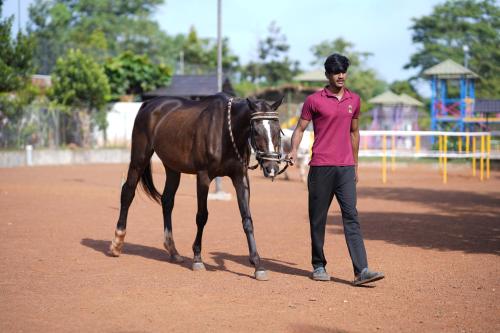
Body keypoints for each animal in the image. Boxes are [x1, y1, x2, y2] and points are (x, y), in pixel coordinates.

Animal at [109, 92, 290, 278]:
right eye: (256, 131)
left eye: (278, 131)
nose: (271, 168)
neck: (226, 130)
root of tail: (149, 104)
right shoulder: (203, 177)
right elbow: (202, 216)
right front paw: (197, 258)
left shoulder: (241, 177)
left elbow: (247, 219)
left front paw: (257, 265)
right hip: (139, 158)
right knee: (127, 193)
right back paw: (117, 243)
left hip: (172, 167)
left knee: (167, 201)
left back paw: (173, 251)